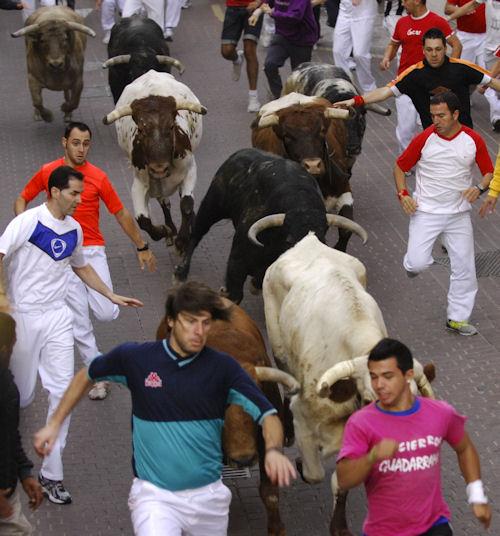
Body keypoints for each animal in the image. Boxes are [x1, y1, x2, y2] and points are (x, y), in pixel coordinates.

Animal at [102, 70, 206, 254]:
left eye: (171, 126)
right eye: (141, 129)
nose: (159, 168)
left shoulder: (190, 170)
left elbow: (186, 204)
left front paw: (182, 240)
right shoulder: (140, 182)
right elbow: (143, 221)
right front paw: (166, 230)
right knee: (163, 201)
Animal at [173, 149, 368, 304]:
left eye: (322, 241)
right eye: (289, 241)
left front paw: (255, 284)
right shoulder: (237, 259)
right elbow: (235, 293)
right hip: (212, 205)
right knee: (197, 233)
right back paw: (180, 274)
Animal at [262, 233, 434, 536]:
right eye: (367, 399)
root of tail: (310, 241)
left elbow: (341, 482)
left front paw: (339, 526)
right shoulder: (304, 417)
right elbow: (315, 473)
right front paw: (301, 462)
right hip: (279, 346)